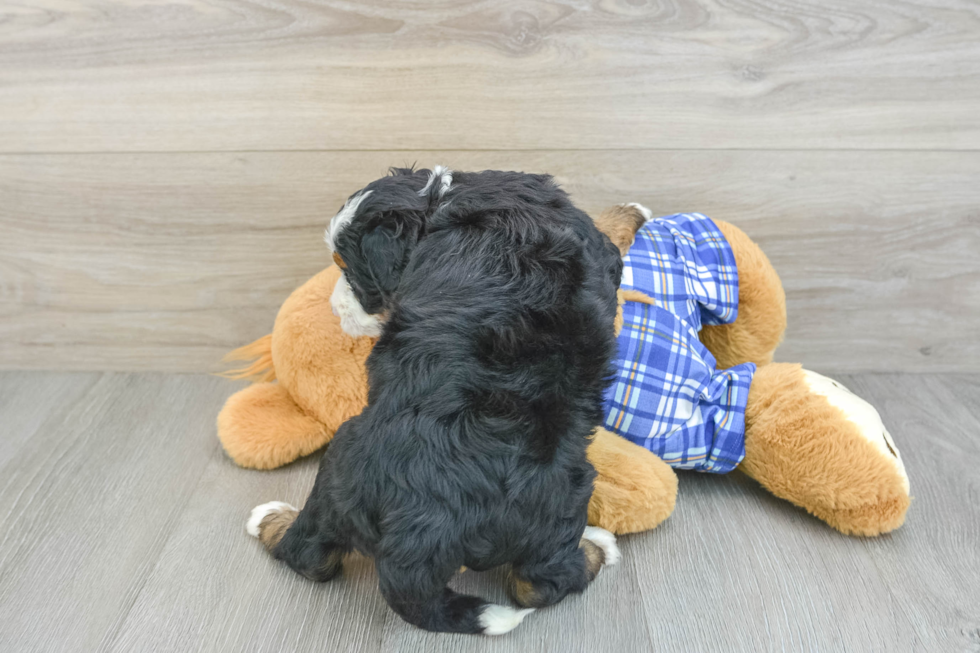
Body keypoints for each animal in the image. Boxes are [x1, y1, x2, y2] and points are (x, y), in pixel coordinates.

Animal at [249, 166, 624, 636]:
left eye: (347, 268)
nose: (335, 311)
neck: (435, 203)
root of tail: (423, 533)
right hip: (562, 498)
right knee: (539, 584)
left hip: (338, 471)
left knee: (309, 554)